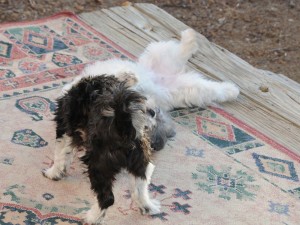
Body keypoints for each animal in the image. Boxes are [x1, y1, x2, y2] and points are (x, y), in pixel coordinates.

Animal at [42, 29, 239, 224]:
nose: (152, 113)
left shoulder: (65, 127)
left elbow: (60, 153)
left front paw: (53, 171)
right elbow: (63, 154)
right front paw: (56, 172)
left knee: (107, 198)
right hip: (183, 92)